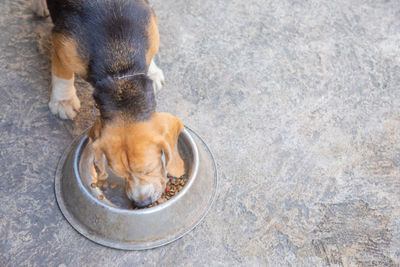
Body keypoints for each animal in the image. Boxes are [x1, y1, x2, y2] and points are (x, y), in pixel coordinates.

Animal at [34, 0, 184, 207]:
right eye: (120, 174)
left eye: (147, 170)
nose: (142, 203)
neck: (119, 69)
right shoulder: (61, 42)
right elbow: (62, 72)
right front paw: (63, 100)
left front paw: (152, 72)